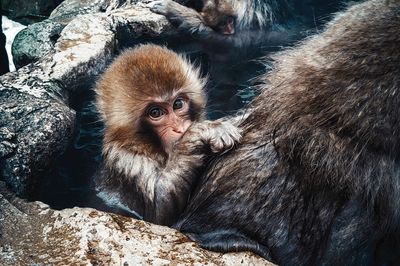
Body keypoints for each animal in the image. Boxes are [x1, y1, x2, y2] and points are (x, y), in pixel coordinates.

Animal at [95, 44, 242, 227]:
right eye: (155, 113)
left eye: (178, 104)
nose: (179, 128)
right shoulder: (126, 160)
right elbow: (158, 210)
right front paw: (201, 133)